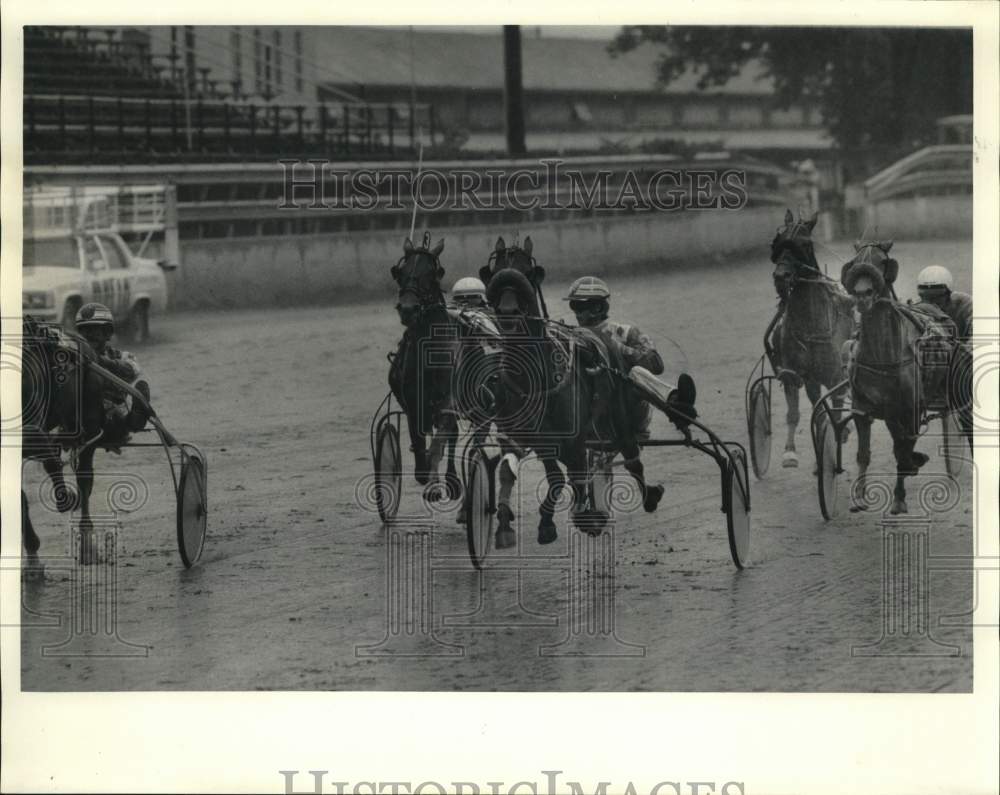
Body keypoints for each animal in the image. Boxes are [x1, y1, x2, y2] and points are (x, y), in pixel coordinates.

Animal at [21, 318, 106, 564]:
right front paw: (32, 554)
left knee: (85, 478)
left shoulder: (32, 427)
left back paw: (87, 542)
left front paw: (67, 497)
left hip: (90, 417)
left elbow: (51, 462)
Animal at [482, 268, 656, 548]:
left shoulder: (570, 438)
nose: (508, 310)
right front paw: (512, 524)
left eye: (525, 288)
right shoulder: (526, 437)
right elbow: (520, 472)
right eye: (496, 292)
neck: (535, 379)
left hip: (620, 416)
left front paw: (561, 522)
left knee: (630, 457)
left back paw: (647, 496)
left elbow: (568, 477)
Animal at [768, 208, 856, 470]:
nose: (781, 276)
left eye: (804, 244)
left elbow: (835, 415)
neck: (810, 325)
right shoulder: (798, 376)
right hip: (814, 381)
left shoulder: (836, 377)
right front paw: (789, 453)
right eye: (777, 242)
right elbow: (796, 413)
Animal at [840, 241, 972, 516]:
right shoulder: (862, 409)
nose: (863, 294)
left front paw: (899, 498)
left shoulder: (908, 408)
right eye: (854, 262)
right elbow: (864, 453)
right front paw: (859, 496)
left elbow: (902, 450)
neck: (882, 353)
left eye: (882, 262)